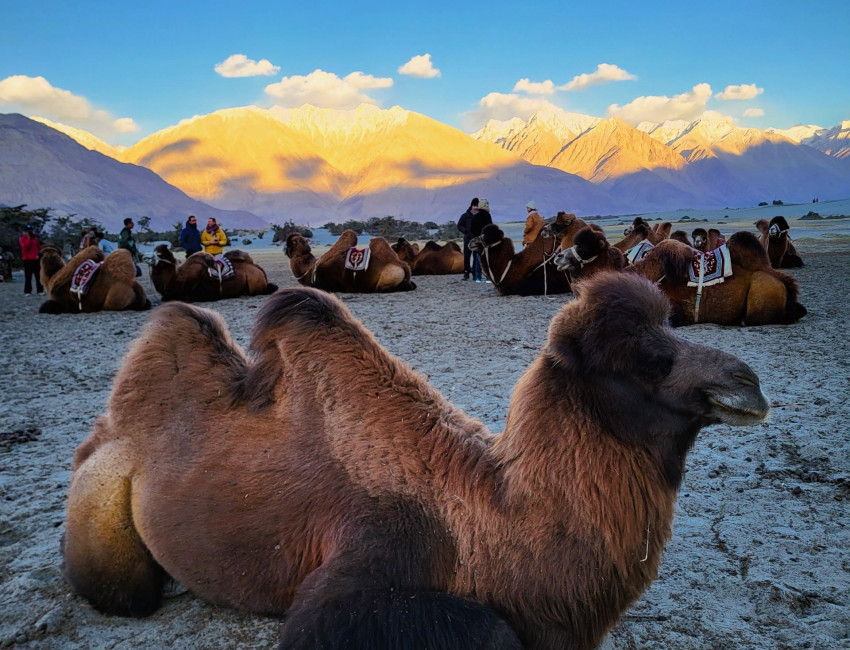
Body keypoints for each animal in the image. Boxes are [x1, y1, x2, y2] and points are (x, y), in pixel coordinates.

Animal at [61, 272, 768, 648]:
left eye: (672, 325)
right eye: (647, 360)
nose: (749, 383)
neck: (490, 527)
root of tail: (108, 430)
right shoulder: (369, 558)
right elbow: (488, 630)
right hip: (99, 510)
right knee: (124, 590)